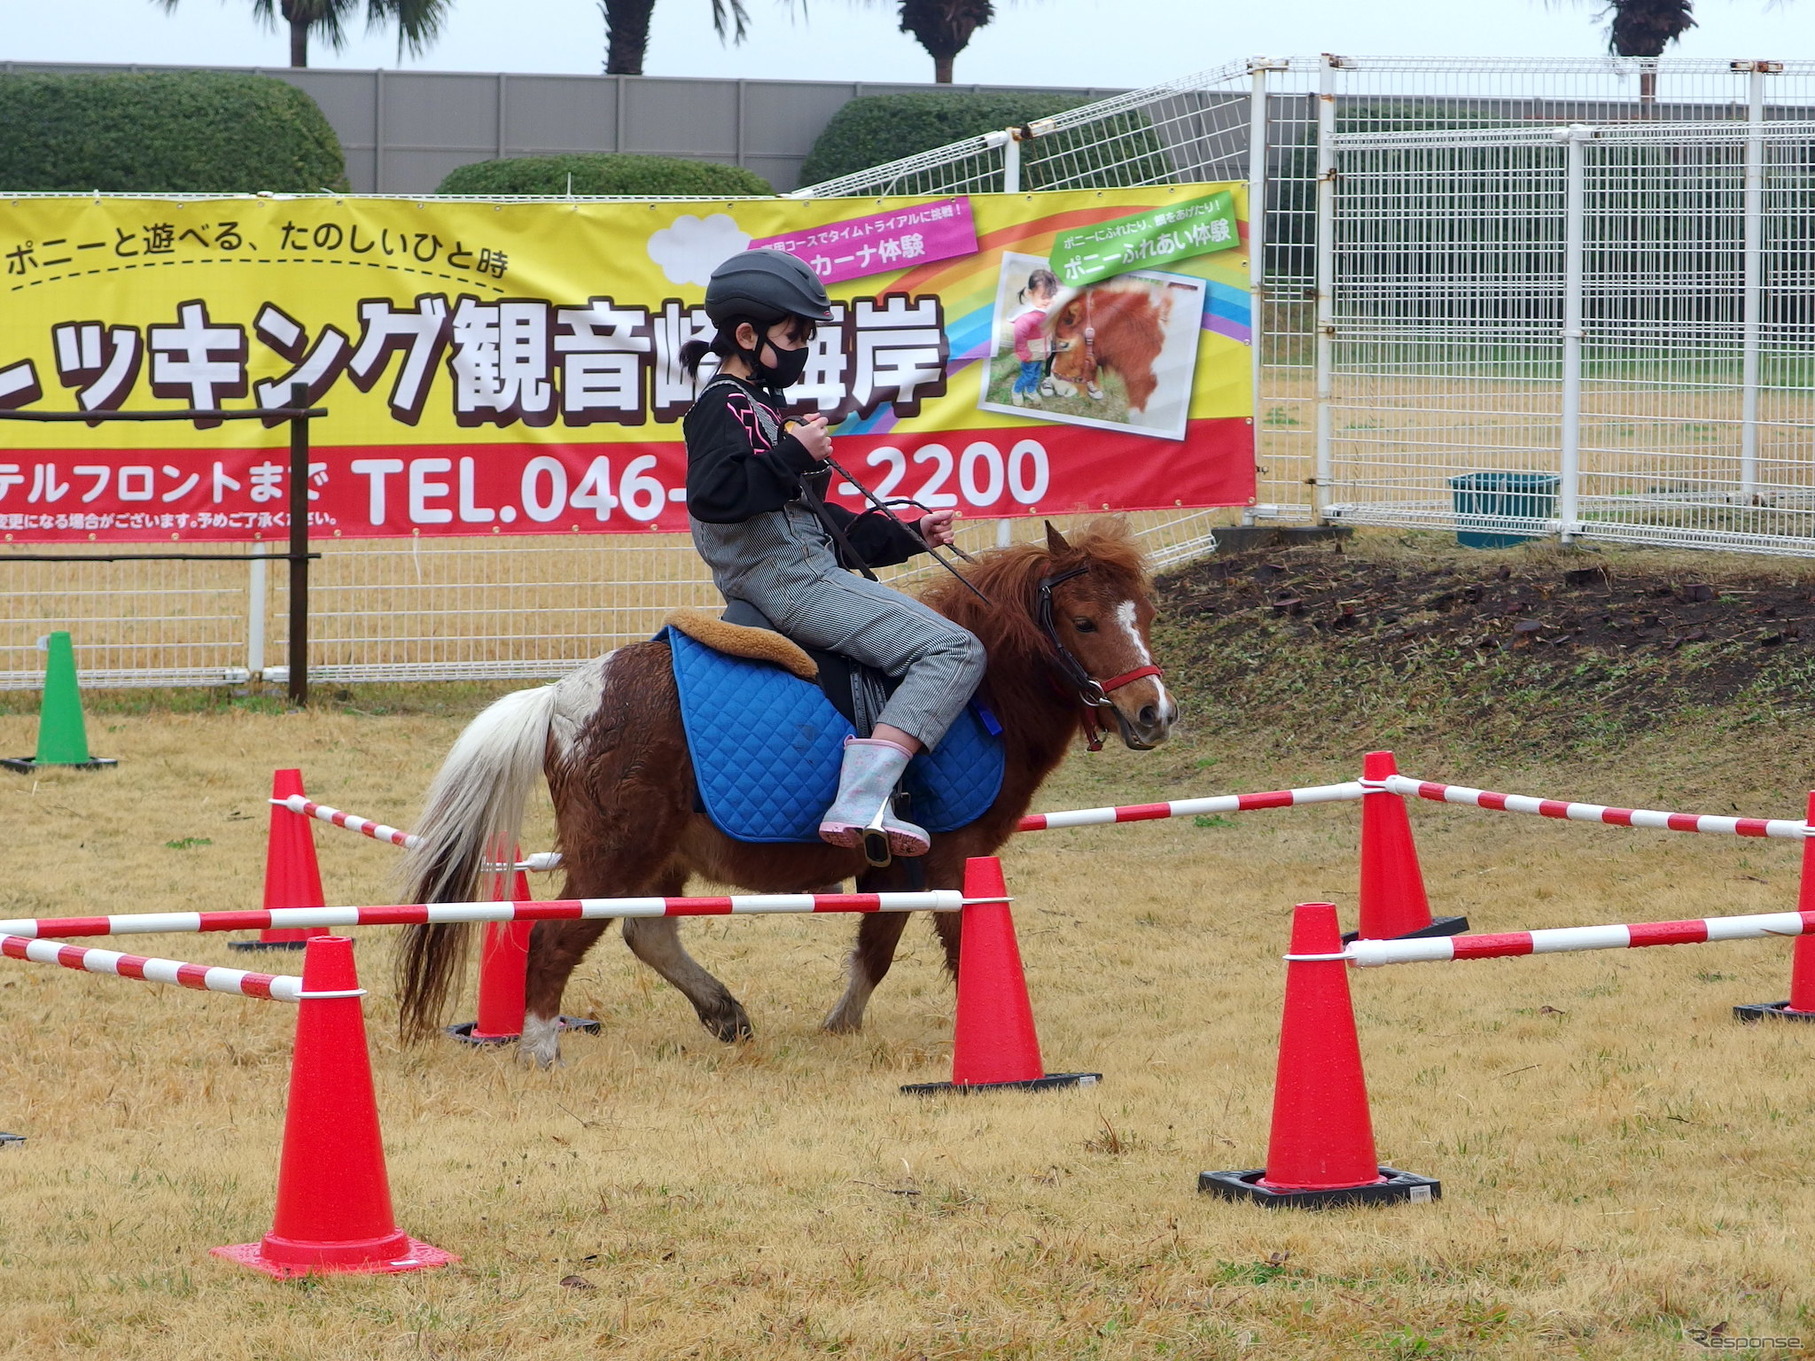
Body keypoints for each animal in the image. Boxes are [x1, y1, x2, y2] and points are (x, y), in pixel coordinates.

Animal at [393, 518, 1176, 1067]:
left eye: (1145, 613)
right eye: (1084, 621)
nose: (1154, 713)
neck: (984, 689)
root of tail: (560, 695)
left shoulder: (893, 862)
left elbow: (877, 944)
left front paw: (840, 1026)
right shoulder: (959, 855)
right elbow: (960, 946)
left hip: (658, 855)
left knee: (649, 931)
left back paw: (723, 1011)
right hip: (613, 853)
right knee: (554, 939)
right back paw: (538, 1048)